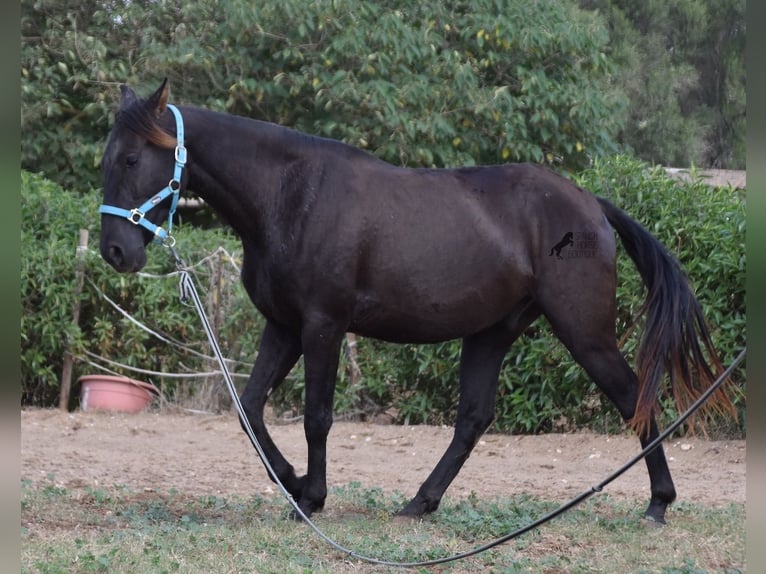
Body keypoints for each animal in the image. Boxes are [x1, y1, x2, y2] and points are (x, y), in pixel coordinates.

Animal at [99, 80, 736, 528]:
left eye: (131, 160)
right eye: (108, 159)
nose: (115, 250)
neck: (291, 194)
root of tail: (592, 206)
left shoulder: (323, 324)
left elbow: (316, 416)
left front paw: (312, 496)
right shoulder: (282, 326)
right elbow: (251, 410)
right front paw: (294, 486)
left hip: (585, 332)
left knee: (634, 397)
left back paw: (658, 503)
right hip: (491, 332)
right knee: (473, 419)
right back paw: (419, 503)